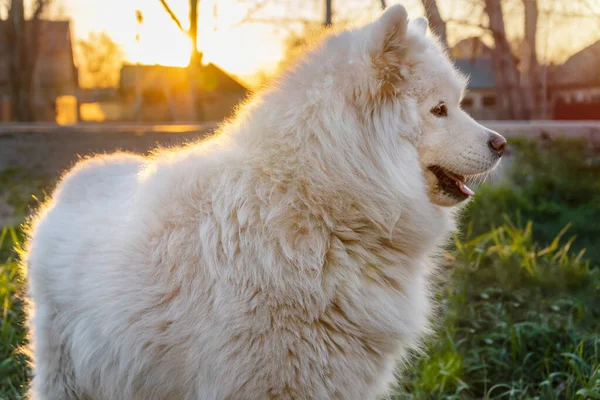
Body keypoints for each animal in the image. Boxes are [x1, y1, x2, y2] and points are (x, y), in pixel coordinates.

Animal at [27, 5, 506, 400]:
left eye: (458, 104)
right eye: (439, 110)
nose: (501, 144)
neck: (316, 203)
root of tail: (76, 176)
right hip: (68, 375)